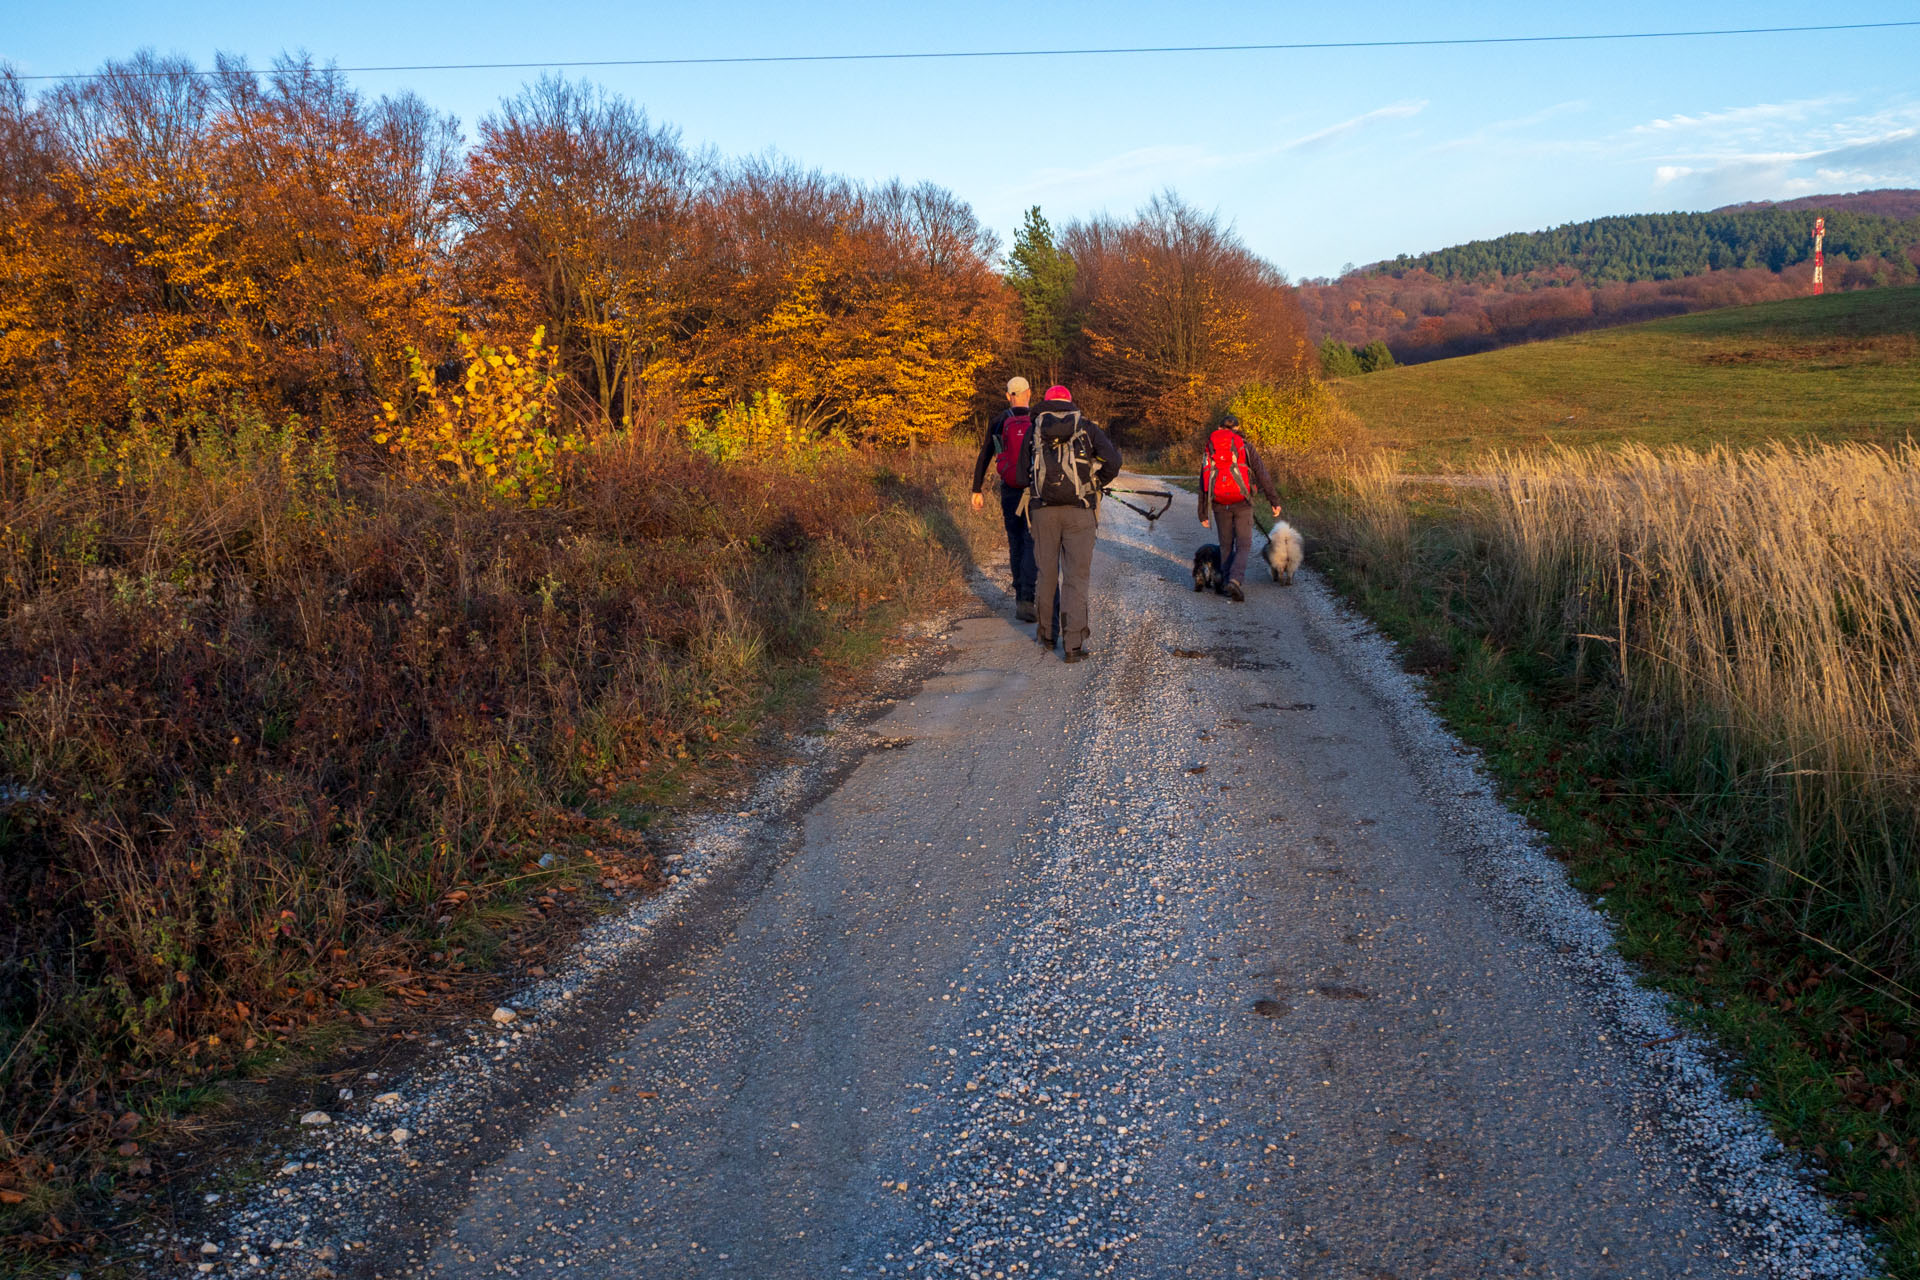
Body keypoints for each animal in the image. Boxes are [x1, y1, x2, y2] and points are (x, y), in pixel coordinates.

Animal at [1013, 385, 1121, 667]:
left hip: (1045, 529)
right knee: (1077, 578)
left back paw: (1048, 639)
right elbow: (1112, 461)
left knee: (1048, 579)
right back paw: (1075, 647)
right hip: (1079, 530)